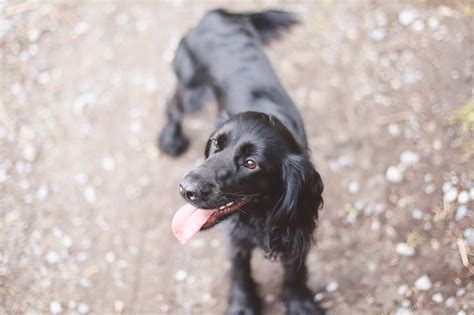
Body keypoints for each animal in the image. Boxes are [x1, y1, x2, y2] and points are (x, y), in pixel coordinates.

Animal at [161, 8, 324, 314]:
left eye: (251, 163)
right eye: (216, 143)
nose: (185, 188)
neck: (259, 215)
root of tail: (215, 14)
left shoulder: (297, 224)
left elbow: (295, 267)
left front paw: (299, 301)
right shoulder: (236, 237)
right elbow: (239, 268)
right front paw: (242, 304)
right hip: (192, 90)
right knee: (172, 106)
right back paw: (169, 138)